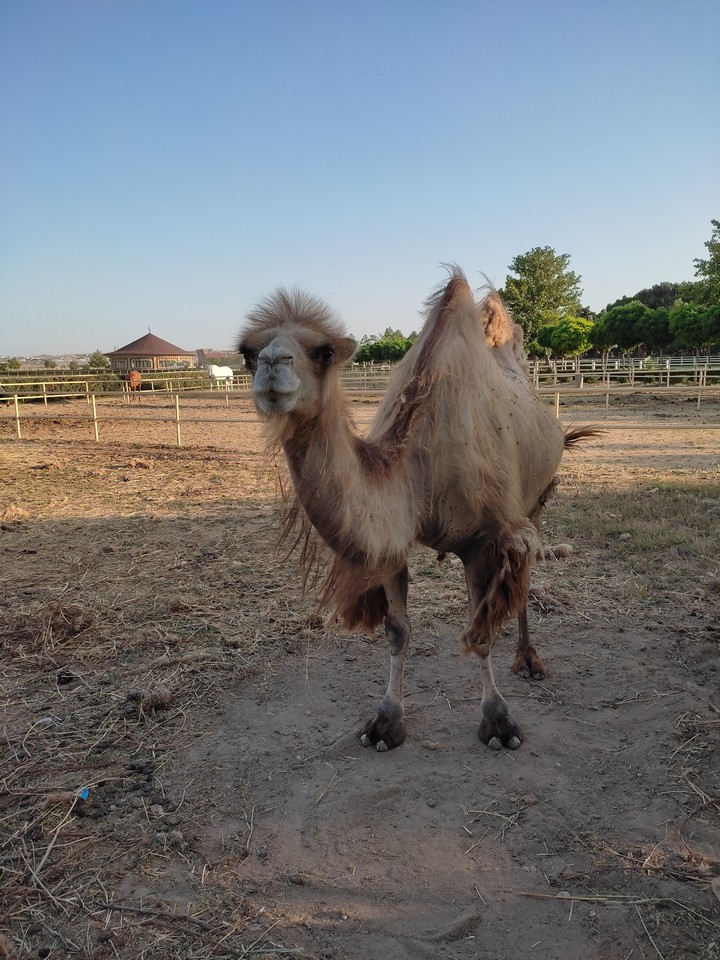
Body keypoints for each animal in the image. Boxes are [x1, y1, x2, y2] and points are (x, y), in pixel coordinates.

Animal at [238, 269, 592, 752]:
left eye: (324, 351)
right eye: (247, 353)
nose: (273, 363)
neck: (419, 471)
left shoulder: (484, 540)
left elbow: (480, 636)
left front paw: (499, 721)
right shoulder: (390, 543)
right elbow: (397, 632)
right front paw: (386, 722)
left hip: (535, 500)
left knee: (526, 567)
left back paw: (529, 659)